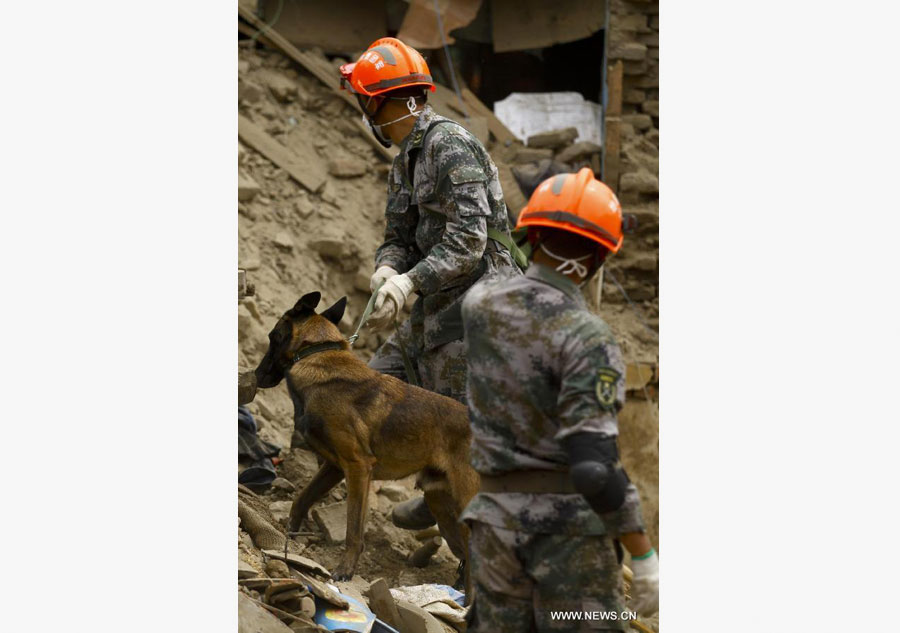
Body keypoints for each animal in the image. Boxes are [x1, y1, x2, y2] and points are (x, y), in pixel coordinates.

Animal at [253, 292, 478, 584]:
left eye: (272, 336)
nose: (255, 376)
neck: (317, 352)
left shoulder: (358, 467)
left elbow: (353, 529)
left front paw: (345, 570)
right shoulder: (335, 467)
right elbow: (302, 497)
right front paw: (289, 529)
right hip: (441, 503)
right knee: (464, 553)